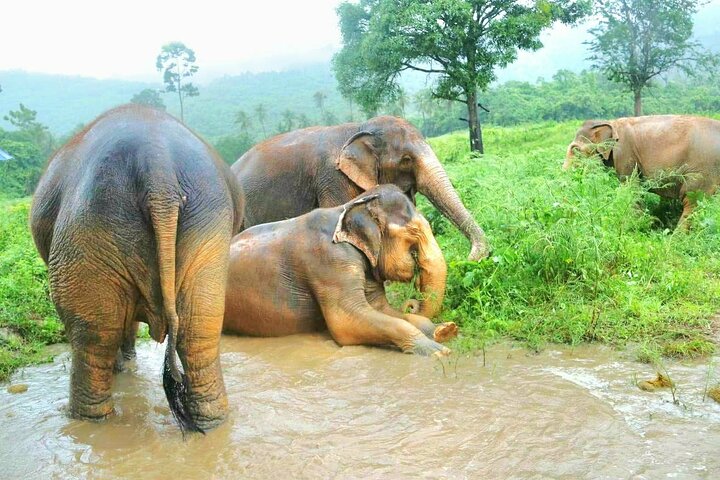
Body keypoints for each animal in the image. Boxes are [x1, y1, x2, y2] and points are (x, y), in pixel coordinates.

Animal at [30, 105, 244, 433]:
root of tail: (158, 168)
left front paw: (123, 366)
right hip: (208, 227)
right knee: (199, 332)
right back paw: (212, 424)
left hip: (86, 228)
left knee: (93, 338)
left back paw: (88, 422)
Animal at [223, 185, 458, 355]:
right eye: (414, 232)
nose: (412, 302)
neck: (349, 207)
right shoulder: (329, 262)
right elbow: (345, 321)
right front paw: (438, 352)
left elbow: (382, 309)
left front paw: (446, 330)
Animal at [564, 115, 720, 225]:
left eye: (575, 150)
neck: (612, 123)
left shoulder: (625, 153)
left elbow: (631, 187)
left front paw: (638, 225)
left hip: (702, 170)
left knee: (692, 200)